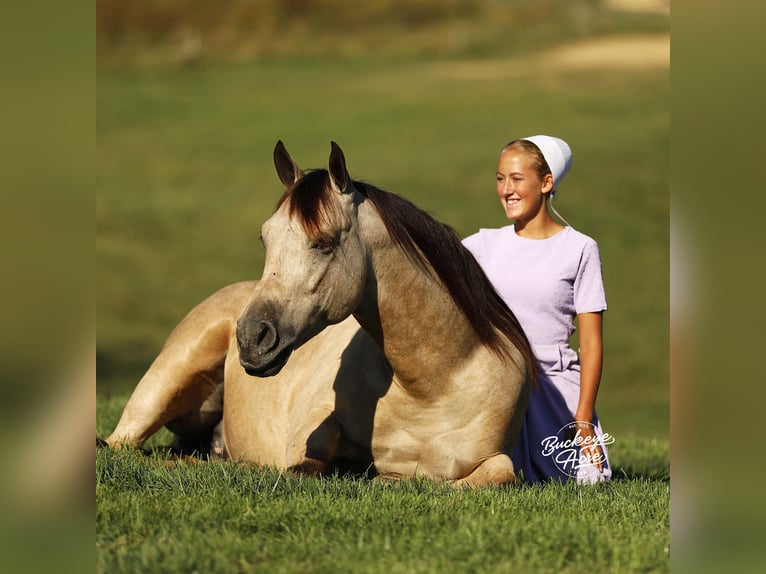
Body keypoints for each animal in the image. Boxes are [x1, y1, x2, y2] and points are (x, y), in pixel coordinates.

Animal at [105, 141, 536, 485]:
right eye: (265, 240)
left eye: (325, 242)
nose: (251, 337)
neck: (434, 383)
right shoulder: (309, 434)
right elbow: (305, 467)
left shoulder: (497, 460)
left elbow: (501, 474)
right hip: (163, 387)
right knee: (121, 446)